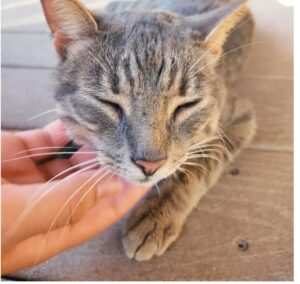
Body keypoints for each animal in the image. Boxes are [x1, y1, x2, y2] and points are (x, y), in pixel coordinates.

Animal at [39, 0, 255, 262]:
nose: (150, 165)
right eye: (108, 103)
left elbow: (197, 164)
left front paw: (156, 215)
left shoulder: (240, 116)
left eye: (186, 106)